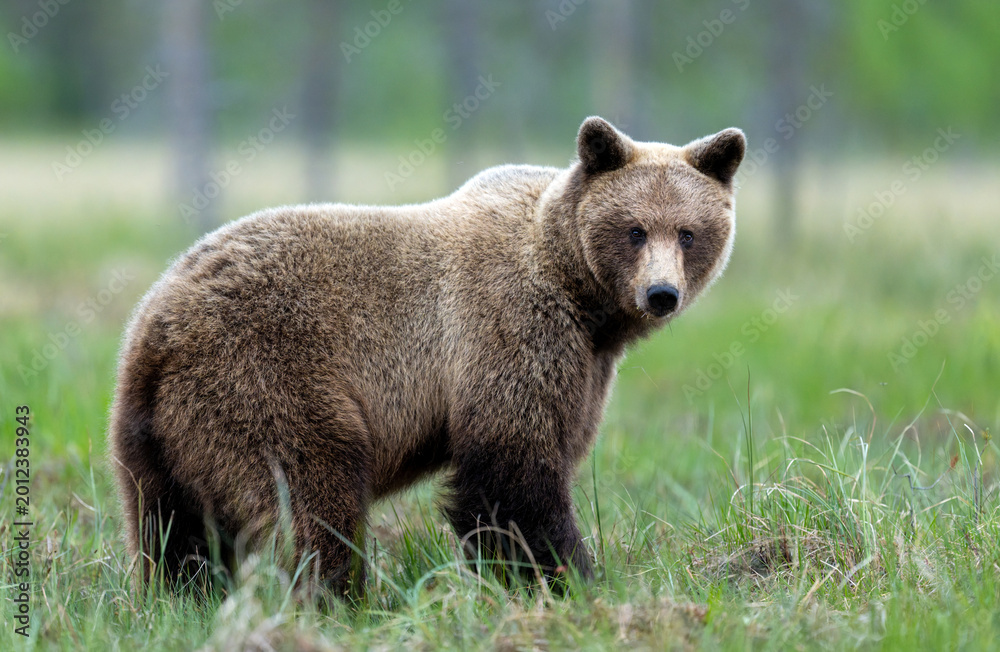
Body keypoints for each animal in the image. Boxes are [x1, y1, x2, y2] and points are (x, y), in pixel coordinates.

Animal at [108, 116, 745, 594]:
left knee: (171, 526)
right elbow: (513, 472)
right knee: (314, 495)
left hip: (159, 432)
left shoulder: (587, 363)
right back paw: (335, 596)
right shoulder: (509, 329)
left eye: (688, 232)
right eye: (635, 229)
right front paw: (567, 578)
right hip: (268, 374)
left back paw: (183, 596)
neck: (581, 296)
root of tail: (156, 324)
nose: (660, 293)